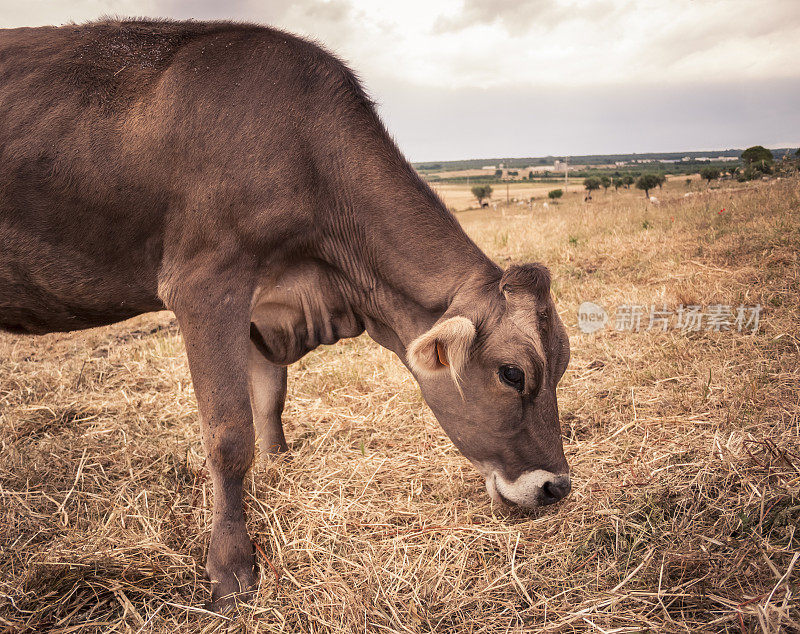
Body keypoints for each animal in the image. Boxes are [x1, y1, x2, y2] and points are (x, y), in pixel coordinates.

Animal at [0, 17, 568, 604]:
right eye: (512, 373)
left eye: (562, 366)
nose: (557, 488)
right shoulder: (208, 286)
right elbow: (229, 435)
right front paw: (232, 569)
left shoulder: (263, 308)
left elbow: (269, 401)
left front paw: (277, 470)